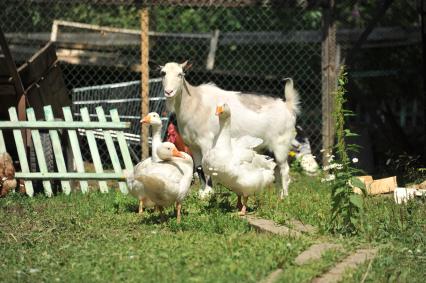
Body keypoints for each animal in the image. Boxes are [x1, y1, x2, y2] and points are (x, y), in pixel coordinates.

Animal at [157, 61, 300, 200]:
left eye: (180, 74)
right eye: (163, 73)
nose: (168, 92)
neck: (195, 102)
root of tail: (288, 106)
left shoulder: (206, 142)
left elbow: (205, 167)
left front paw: (208, 192)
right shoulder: (193, 146)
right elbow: (199, 168)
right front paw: (202, 192)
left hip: (281, 145)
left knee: (285, 169)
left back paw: (284, 197)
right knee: (276, 170)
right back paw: (278, 195)